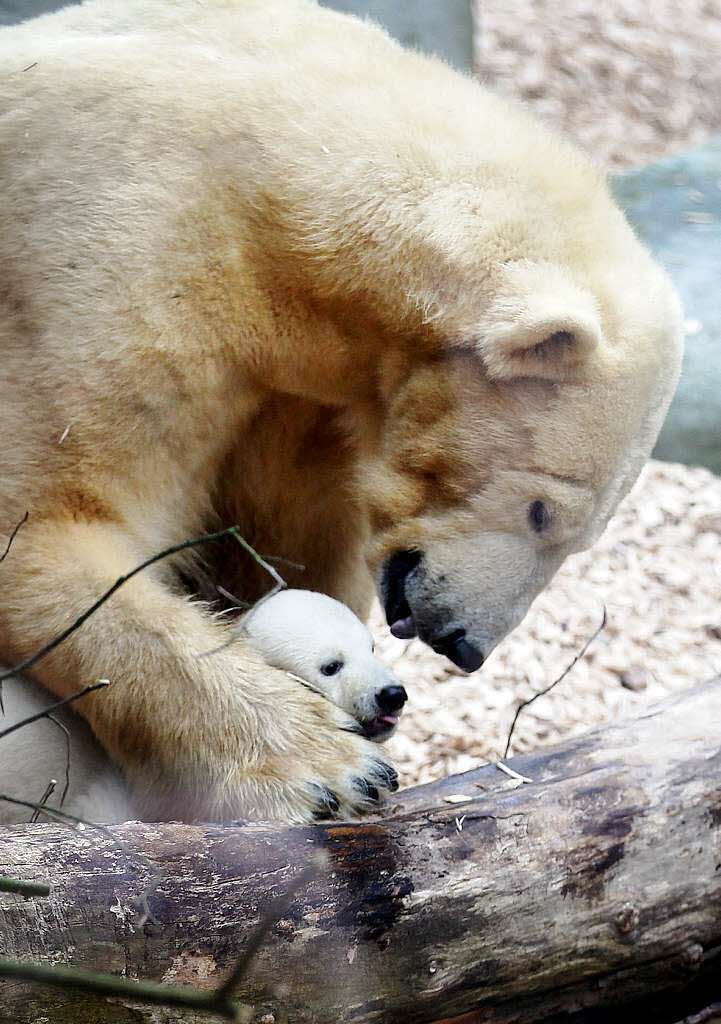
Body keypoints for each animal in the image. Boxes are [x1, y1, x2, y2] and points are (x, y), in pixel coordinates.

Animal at [0, 0, 680, 819]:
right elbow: (54, 521)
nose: (463, 643)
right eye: (542, 511)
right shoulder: (112, 248)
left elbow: (289, 546)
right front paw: (327, 768)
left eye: (579, 540)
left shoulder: (302, 400)